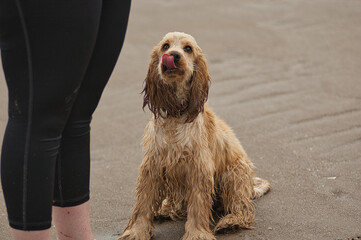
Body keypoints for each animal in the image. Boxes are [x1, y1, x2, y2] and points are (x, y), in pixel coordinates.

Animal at [119, 32, 268, 240]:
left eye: (188, 48)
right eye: (165, 46)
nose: (173, 55)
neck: (175, 116)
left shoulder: (198, 168)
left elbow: (197, 206)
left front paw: (197, 233)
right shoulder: (153, 166)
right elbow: (143, 204)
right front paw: (136, 231)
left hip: (234, 173)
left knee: (241, 206)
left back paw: (231, 222)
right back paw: (165, 210)